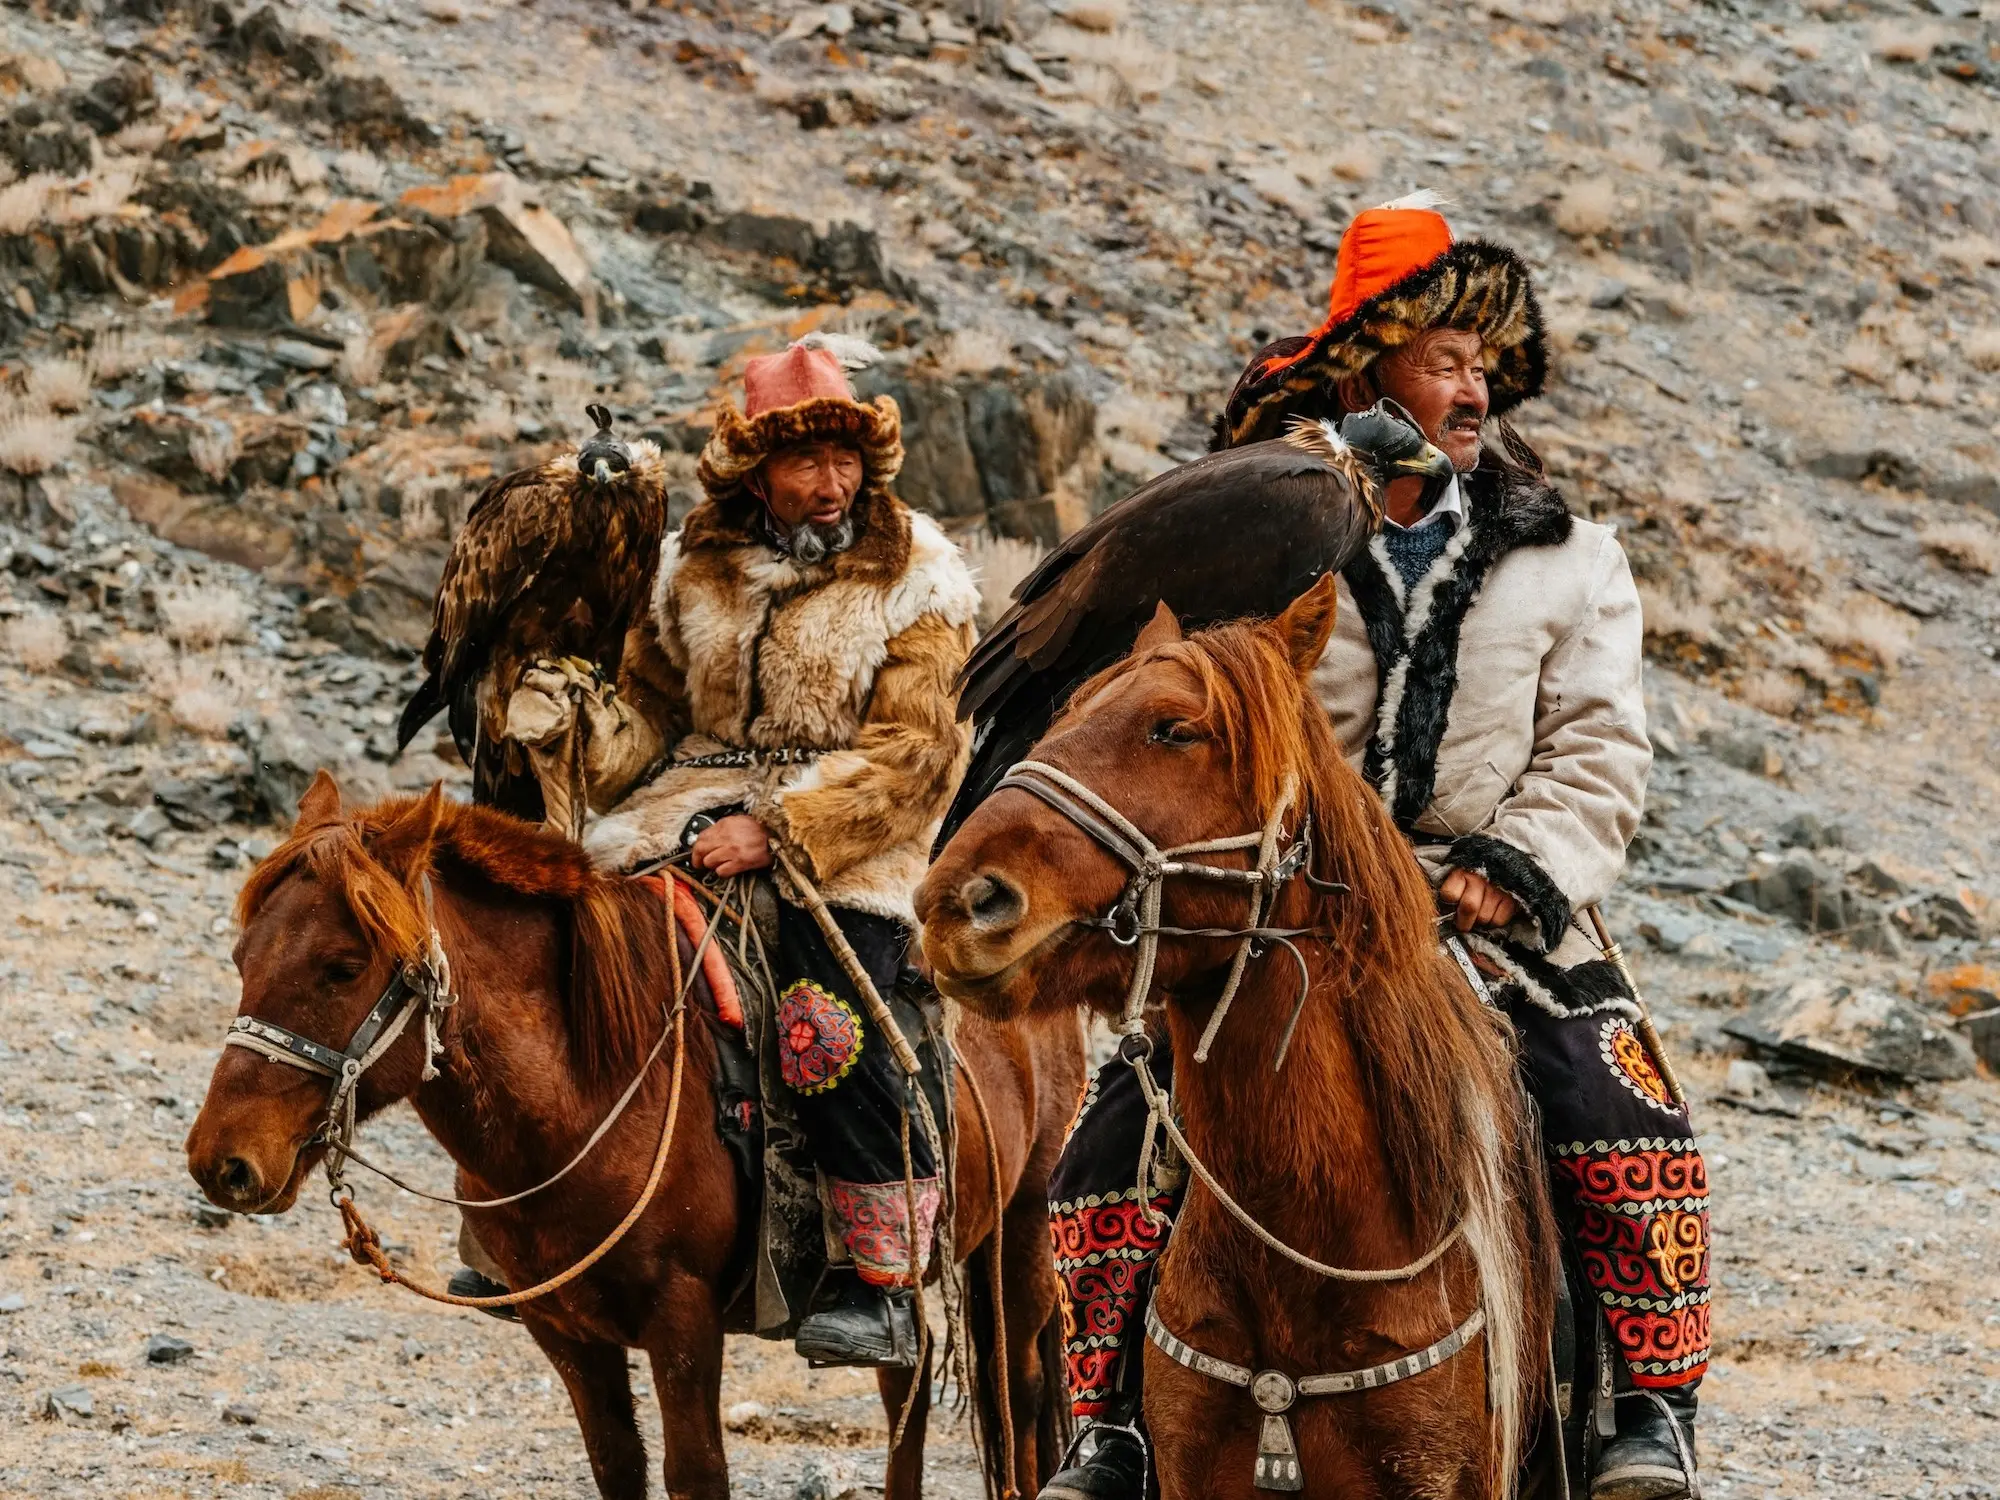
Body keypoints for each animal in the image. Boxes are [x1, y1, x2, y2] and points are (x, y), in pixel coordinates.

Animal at [186, 776, 1088, 1500]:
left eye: (342, 966)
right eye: (240, 956)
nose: (221, 1163)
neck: (588, 1094)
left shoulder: (682, 1322)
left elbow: (698, 1475)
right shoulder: (564, 1331)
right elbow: (618, 1467)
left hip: (1024, 1226)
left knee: (1020, 1390)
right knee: (910, 1387)